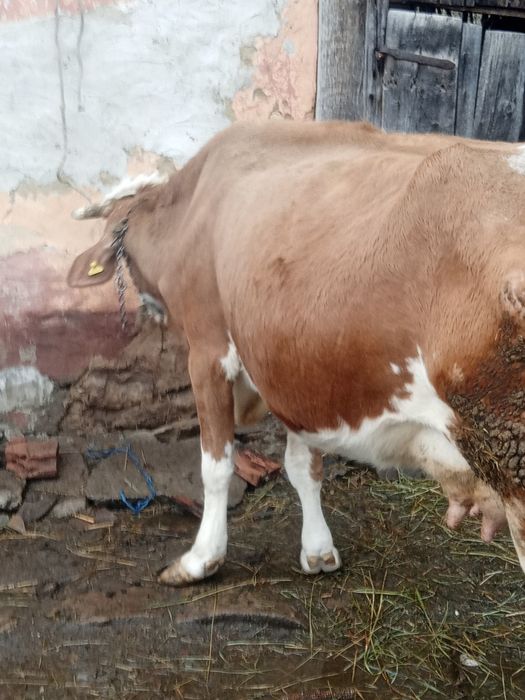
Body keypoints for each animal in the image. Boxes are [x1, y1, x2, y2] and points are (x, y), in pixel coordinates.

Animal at [68, 120, 525, 586]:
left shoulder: (208, 349)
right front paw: (318, 549)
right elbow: (304, 464)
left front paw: (201, 559)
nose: (148, 309)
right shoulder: (293, 367)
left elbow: (216, 466)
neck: (192, 208)